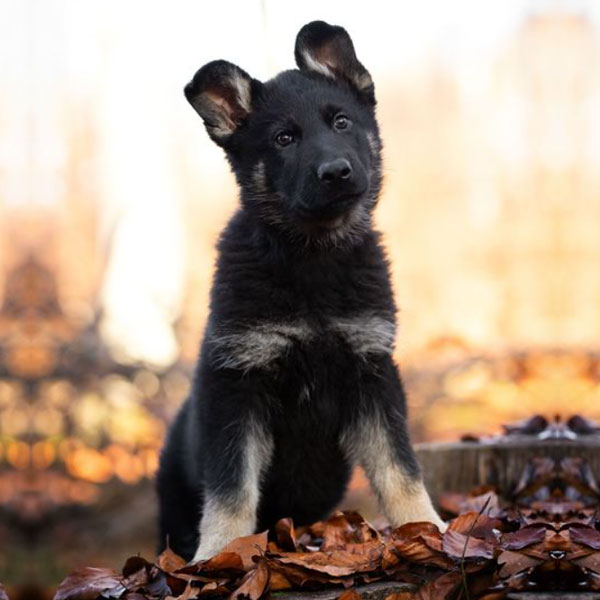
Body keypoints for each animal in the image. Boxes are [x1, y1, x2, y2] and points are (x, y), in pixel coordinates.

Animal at [156, 18, 446, 564]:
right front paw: (218, 554)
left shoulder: (372, 371)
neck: (312, 255)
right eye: (284, 138)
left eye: (341, 123)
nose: (336, 173)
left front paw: (429, 529)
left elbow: (400, 466)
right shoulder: (238, 383)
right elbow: (231, 484)